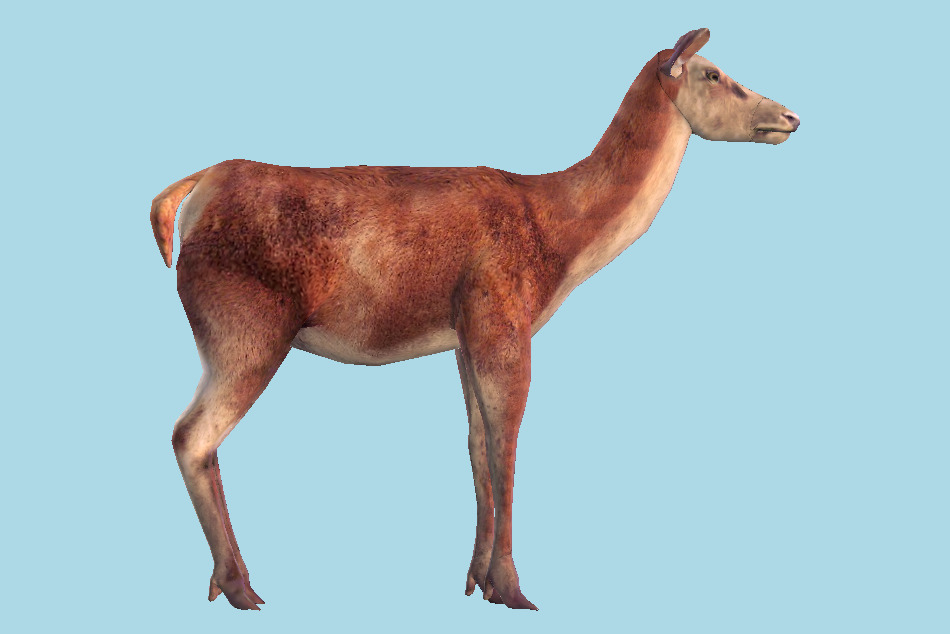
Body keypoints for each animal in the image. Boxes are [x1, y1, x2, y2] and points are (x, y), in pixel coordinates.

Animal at [151, 28, 799, 612]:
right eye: (714, 73)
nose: (790, 115)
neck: (560, 242)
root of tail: (191, 193)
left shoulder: (464, 337)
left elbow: (476, 445)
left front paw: (476, 580)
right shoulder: (502, 316)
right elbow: (505, 446)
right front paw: (513, 589)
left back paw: (223, 583)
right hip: (245, 328)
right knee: (191, 434)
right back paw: (241, 588)